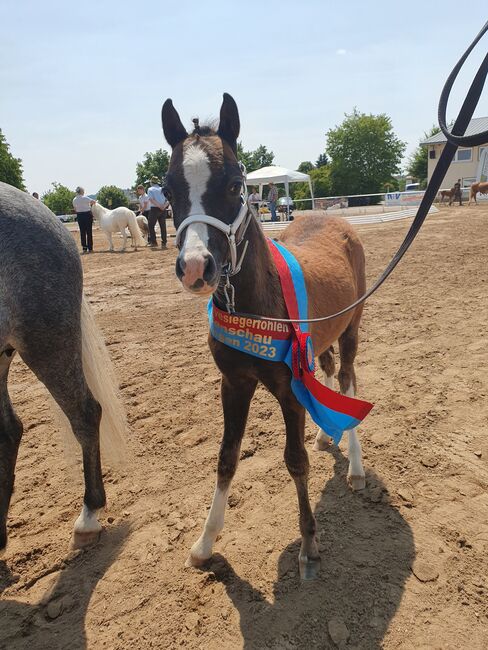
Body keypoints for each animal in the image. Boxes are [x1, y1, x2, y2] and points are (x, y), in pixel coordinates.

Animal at [162, 92, 368, 576]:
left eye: (235, 184)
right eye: (168, 189)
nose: (196, 267)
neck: (255, 302)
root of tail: (337, 221)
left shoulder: (288, 388)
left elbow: (295, 461)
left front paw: (309, 544)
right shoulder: (234, 383)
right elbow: (226, 457)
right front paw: (205, 543)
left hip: (351, 326)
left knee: (347, 378)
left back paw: (354, 467)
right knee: (328, 368)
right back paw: (326, 434)